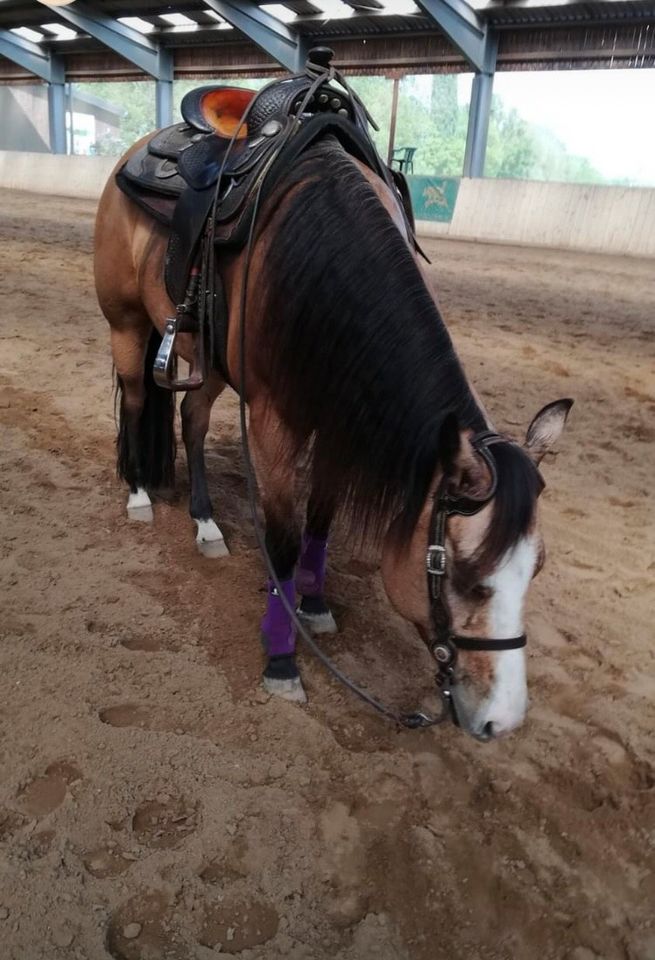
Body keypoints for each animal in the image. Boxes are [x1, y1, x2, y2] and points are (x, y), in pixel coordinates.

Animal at [95, 118, 572, 744]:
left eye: (536, 568)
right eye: (465, 575)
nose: (503, 718)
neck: (315, 263)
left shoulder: (336, 415)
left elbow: (320, 517)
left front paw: (316, 603)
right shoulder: (275, 423)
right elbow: (283, 539)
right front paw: (281, 658)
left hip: (211, 361)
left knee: (191, 422)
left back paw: (205, 522)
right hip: (127, 326)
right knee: (135, 402)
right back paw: (139, 497)